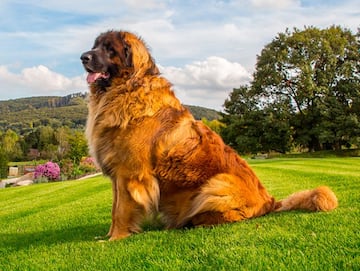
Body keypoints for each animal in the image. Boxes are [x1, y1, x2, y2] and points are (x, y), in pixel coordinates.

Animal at [79, 30, 338, 241]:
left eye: (109, 49)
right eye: (95, 45)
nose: (83, 57)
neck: (125, 90)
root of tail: (270, 201)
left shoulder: (129, 174)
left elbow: (121, 210)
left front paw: (115, 239)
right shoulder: (118, 176)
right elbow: (115, 208)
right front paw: (108, 235)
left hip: (216, 184)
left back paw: (193, 221)